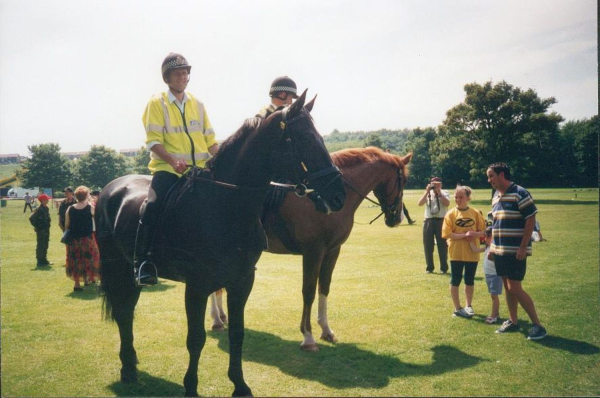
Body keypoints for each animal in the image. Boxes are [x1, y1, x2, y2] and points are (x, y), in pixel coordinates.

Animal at [95, 91, 344, 398]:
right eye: (307, 140)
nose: (338, 194)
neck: (225, 205)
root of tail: (109, 189)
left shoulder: (241, 281)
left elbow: (237, 333)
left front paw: (240, 385)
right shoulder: (197, 285)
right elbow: (195, 338)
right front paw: (191, 387)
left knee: (127, 311)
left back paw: (130, 364)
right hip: (117, 268)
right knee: (123, 312)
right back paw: (128, 369)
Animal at [209, 147, 410, 352]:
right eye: (404, 181)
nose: (398, 218)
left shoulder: (332, 251)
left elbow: (324, 288)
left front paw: (326, 330)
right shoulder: (313, 252)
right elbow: (309, 291)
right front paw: (308, 336)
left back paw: (221, 316)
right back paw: (217, 320)